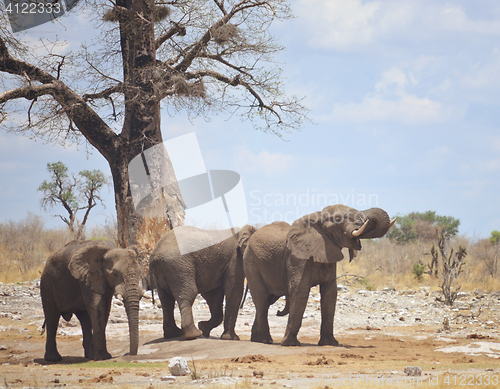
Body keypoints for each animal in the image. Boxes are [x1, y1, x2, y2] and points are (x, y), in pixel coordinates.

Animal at [244, 205, 396, 348]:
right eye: (338, 219)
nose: (365, 221)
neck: (317, 218)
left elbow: (330, 294)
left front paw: (330, 343)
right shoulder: (298, 257)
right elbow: (300, 291)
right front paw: (290, 344)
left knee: (266, 301)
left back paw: (257, 339)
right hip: (251, 263)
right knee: (262, 299)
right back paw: (265, 340)